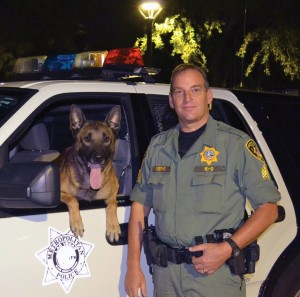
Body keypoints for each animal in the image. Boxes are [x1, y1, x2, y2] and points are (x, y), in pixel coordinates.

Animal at [57, 104, 120, 240]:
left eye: (106, 139)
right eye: (87, 138)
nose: (98, 158)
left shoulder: (113, 193)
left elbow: (113, 204)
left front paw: (113, 226)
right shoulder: (59, 193)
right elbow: (73, 200)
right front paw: (77, 222)